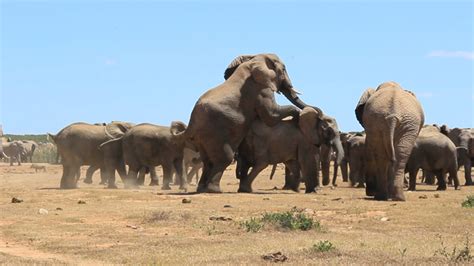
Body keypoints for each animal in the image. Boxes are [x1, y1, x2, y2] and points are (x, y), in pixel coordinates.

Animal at [168, 53, 316, 193]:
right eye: (284, 69)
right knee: (224, 158)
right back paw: (214, 190)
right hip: (214, 134)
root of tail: (191, 123)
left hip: (202, 139)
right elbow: (271, 116)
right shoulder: (260, 89)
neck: (256, 59)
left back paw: (202, 189)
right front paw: (297, 116)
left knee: (207, 161)